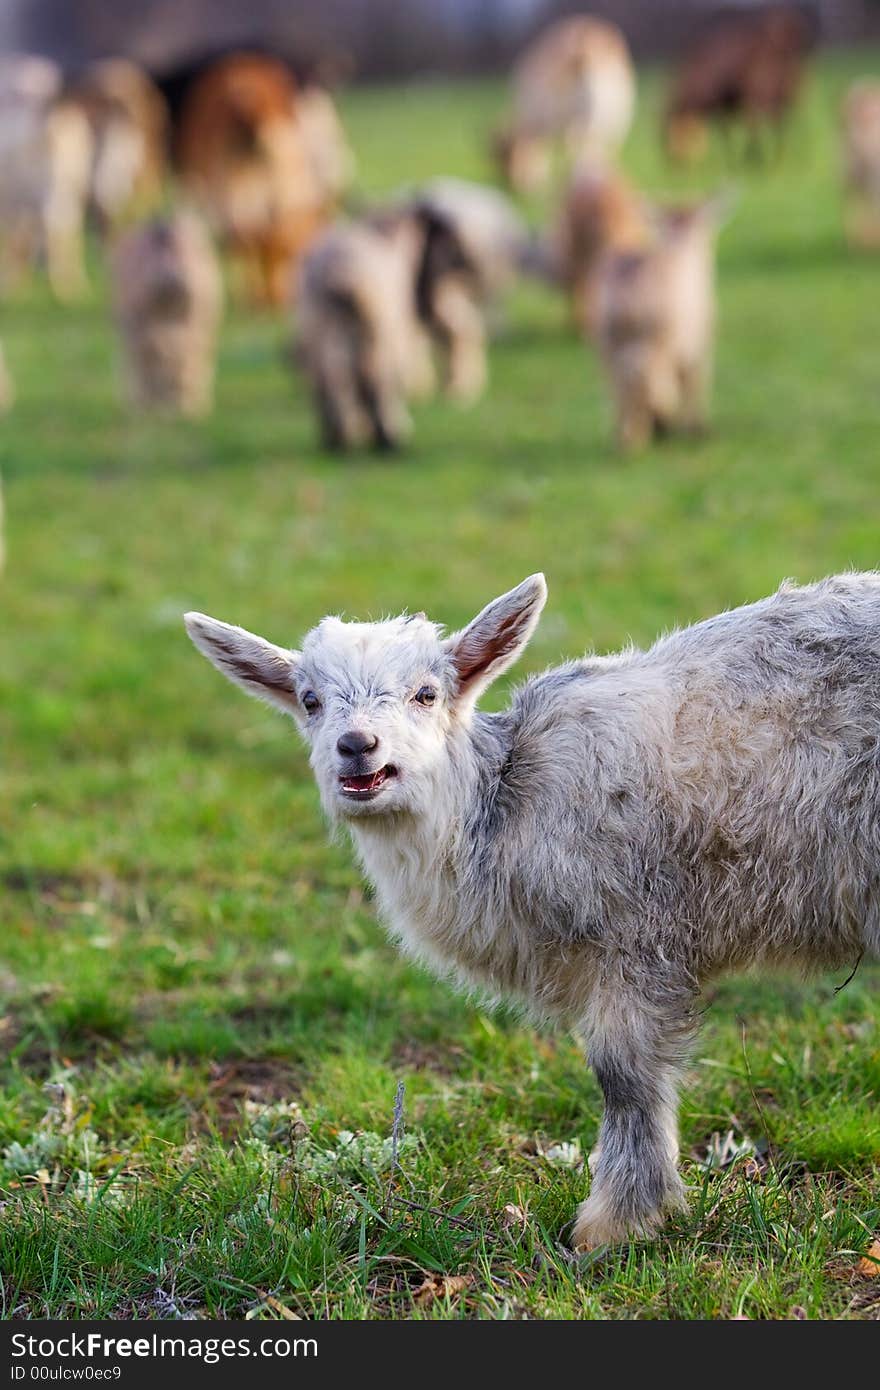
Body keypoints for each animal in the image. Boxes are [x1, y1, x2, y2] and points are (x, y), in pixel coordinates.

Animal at [183, 569, 878, 1245]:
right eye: (309, 700)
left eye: (426, 694)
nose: (357, 745)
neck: (502, 804)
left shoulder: (636, 932)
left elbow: (624, 1077)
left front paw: (615, 1228)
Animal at [595, 195, 728, 450]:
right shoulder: (702, 343)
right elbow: (695, 383)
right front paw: (698, 430)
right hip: (658, 340)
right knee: (654, 386)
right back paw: (650, 431)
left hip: (607, 344)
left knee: (622, 385)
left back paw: (627, 437)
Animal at [661, 4, 811, 162]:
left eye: (672, 137)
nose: (672, 163)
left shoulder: (722, 103)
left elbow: (726, 132)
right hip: (784, 90)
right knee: (777, 124)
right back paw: (774, 156)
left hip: (761, 91)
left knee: (759, 123)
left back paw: (756, 157)